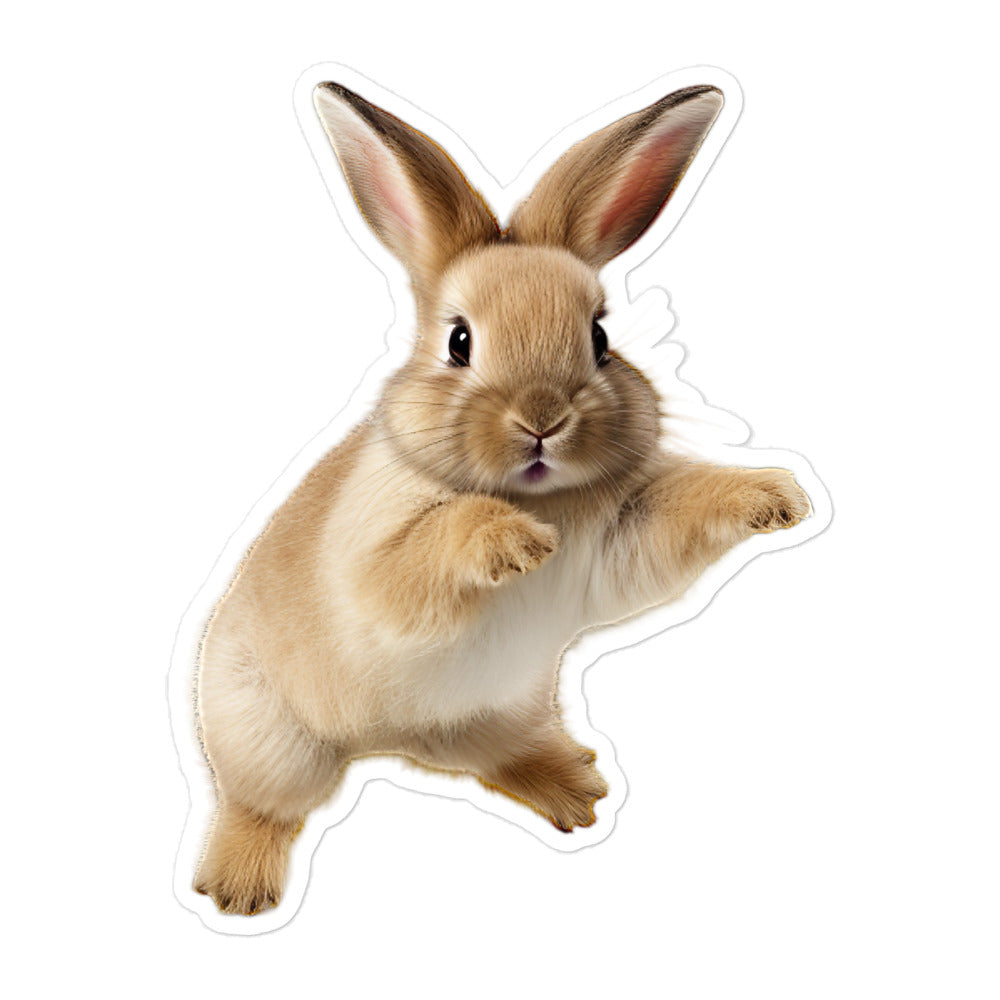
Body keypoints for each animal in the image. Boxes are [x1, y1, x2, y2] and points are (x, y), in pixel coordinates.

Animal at [193, 80, 810, 915]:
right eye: (460, 342)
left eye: (599, 339)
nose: (543, 420)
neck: (538, 495)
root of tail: (378, 741)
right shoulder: (374, 564)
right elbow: (429, 546)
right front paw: (515, 543)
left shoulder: (620, 539)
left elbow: (679, 509)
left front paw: (778, 496)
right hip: (266, 734)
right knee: (261, 804)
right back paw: (237, 888)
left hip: (506, 703)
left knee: (481, 749)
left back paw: (572, 789)